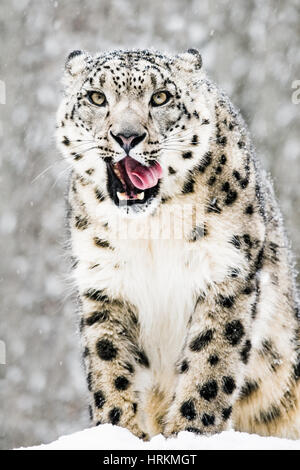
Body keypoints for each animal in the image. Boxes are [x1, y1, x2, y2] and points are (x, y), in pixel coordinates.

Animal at [56, 49, 300, 438]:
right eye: (96, 97)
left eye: (160, 97)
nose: (127, 136)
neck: (152, 229)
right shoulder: (105, 283)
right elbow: (110, 365)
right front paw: (119, 429)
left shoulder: (225, 272)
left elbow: (210, 364)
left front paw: (192, 430)